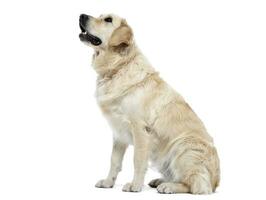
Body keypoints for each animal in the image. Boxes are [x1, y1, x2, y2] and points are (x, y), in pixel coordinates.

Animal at [78, 12, 220, 194]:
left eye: (108, 20)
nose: (82, 15)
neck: (118, 67)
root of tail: (216, 182)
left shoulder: (140, 129)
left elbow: (138, 160)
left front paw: (135, 185)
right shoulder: (118, 131)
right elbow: (114, 161)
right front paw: (108, 182)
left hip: (183, 147)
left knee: (194, 184)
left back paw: (168, 186)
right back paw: (160, 181)